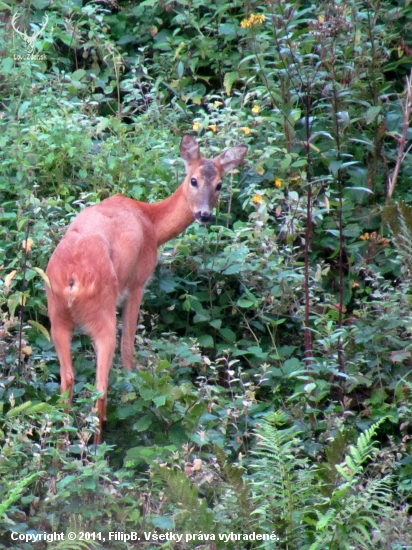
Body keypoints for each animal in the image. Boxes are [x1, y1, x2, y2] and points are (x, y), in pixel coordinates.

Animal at [46, 136, 246, 446]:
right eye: (193, 180)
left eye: (220, 185)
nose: (204, 215)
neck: (150, 219)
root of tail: (72, 279)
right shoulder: (138, 282)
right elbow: (129, 348)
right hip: (102, 311)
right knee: (100, 382)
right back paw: (98, 443)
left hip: (55, 315)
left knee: (67, 377)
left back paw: (63, 442)